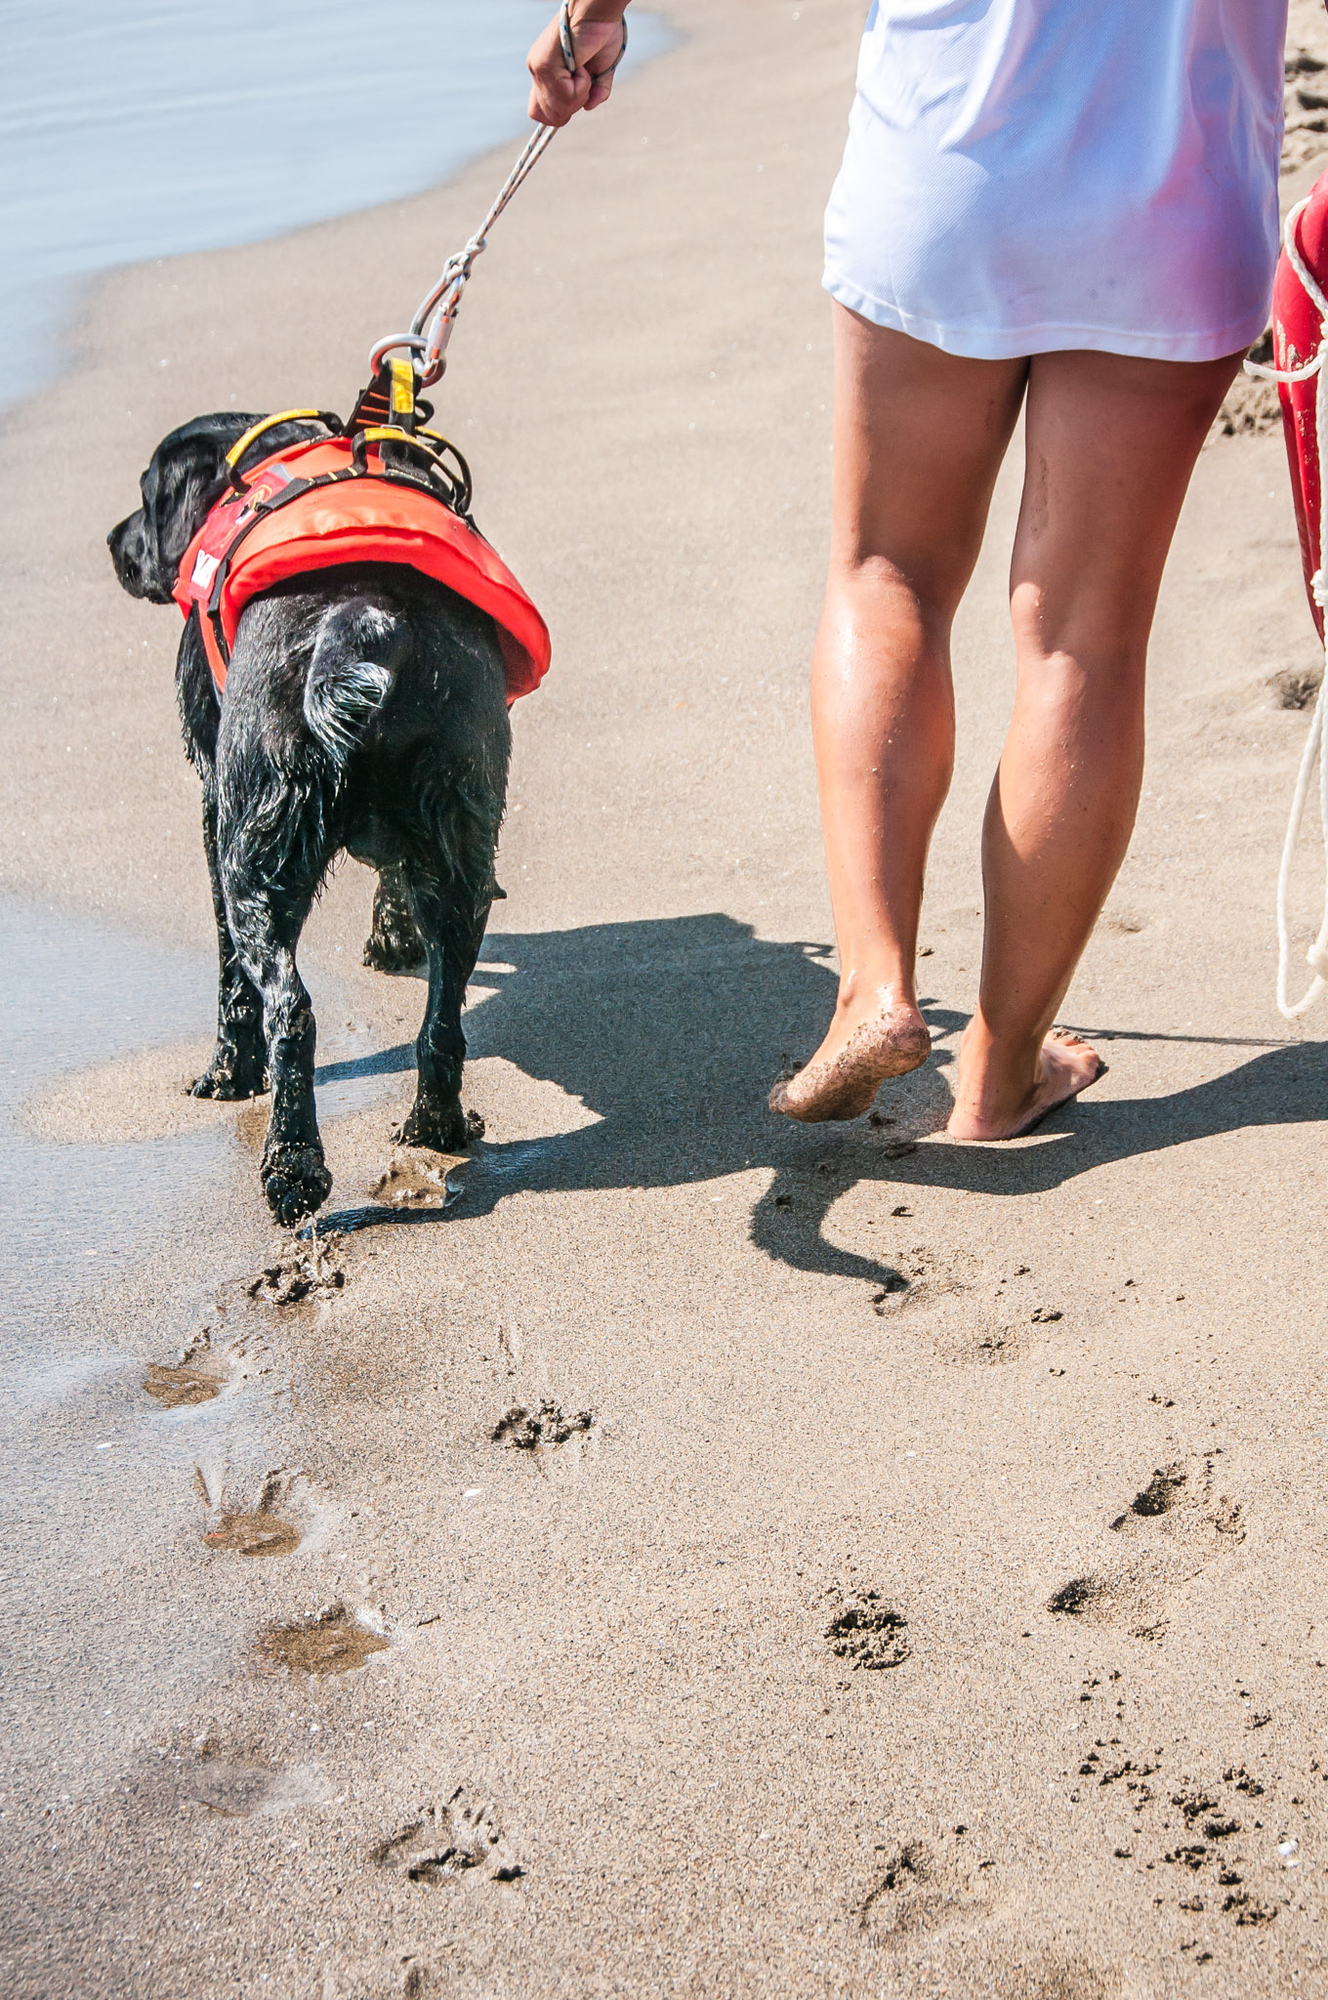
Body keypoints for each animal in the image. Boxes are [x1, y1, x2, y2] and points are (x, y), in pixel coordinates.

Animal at [107, 414, 508, 1224]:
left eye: (146, 492)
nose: (114, 542)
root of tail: (360, 621)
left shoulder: (213, 801)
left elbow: (230, 975)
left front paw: (227, 1074)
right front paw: (391, 938)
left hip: (256, 854)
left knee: (290, 1008)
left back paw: (291, 1168)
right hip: (461, 843)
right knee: (443, 1017)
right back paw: (438, 1126)